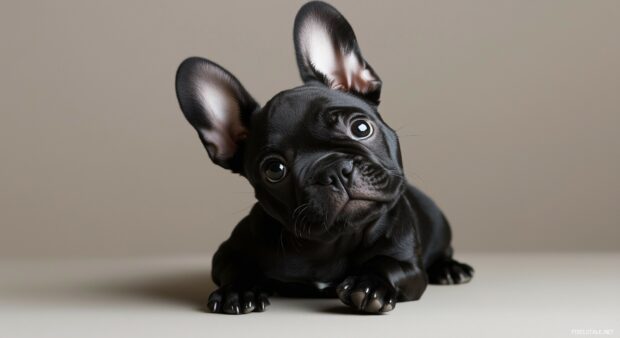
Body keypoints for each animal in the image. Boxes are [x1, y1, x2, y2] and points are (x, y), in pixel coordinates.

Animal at [172, 0, 472, 314]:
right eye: (274, 169)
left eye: (361, 128)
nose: (335, 170)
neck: (332, 244)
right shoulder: (226, 253)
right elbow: (236, 267)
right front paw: (239, 290)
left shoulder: (410, 267)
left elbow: (387, 263)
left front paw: (370, 283)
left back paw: (450, 268)